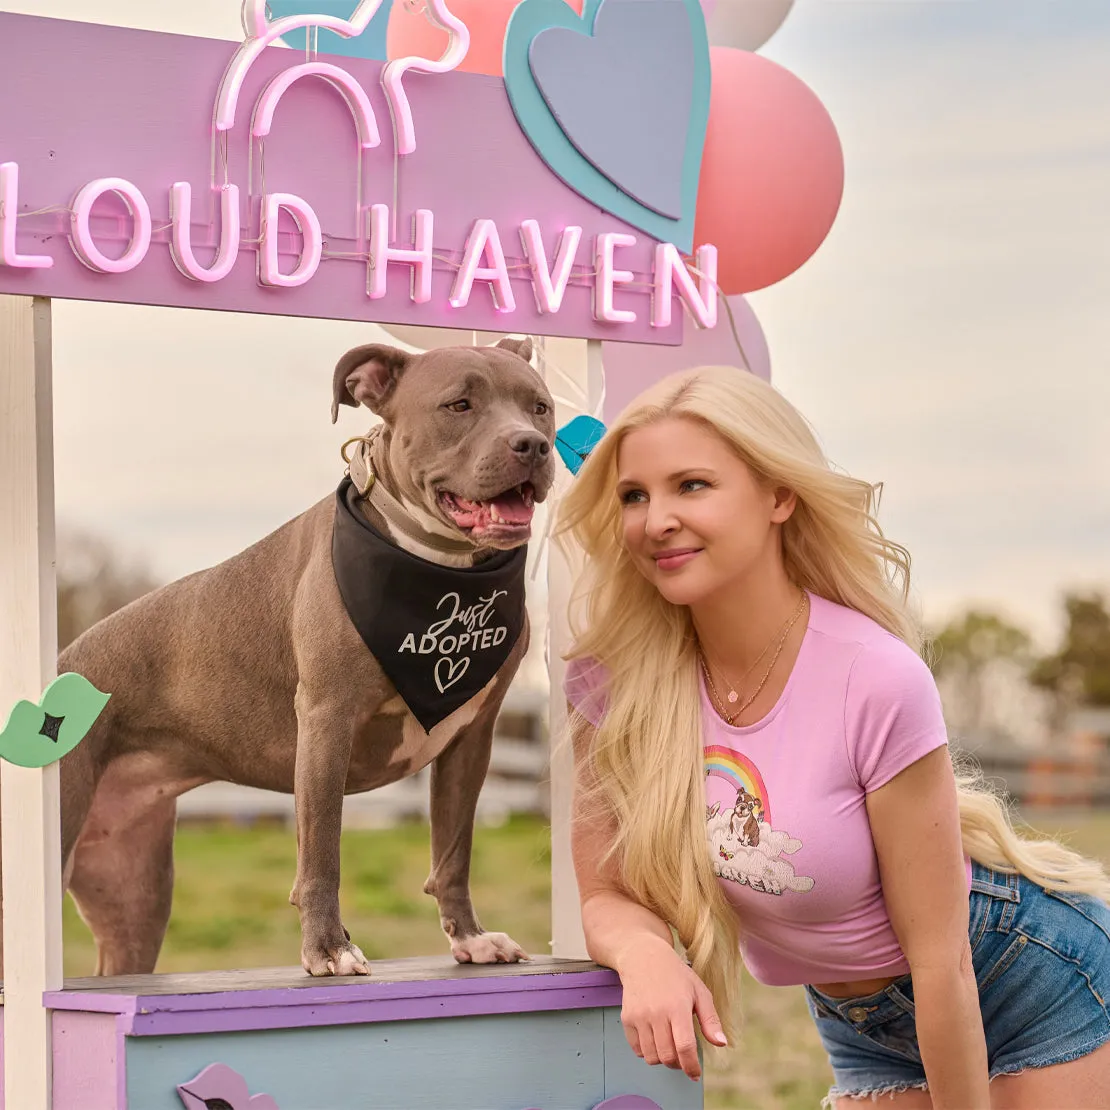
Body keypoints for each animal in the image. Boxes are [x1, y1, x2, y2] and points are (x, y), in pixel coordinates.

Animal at [0, 337, 555, 981]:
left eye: (539, 407)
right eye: (459, 404)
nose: (532, 444)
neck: (437, 568)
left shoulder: (472, 738)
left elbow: (454, 849)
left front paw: (470, 938)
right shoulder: (326, 721)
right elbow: (322, 851)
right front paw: (329, 949)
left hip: (134, 897)